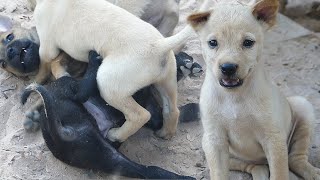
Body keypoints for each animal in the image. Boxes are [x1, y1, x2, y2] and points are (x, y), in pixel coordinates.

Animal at [189, 0, 318, 180]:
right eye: (213, 43)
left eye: (248, 43)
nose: (228, 68)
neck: (235, 96)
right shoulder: (215, 141)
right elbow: (219, 173)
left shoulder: (274, 139)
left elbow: (279, 173)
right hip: (208, 144)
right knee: (253, 166)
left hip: (302, 108)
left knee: (294, 159)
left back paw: (313, 172)